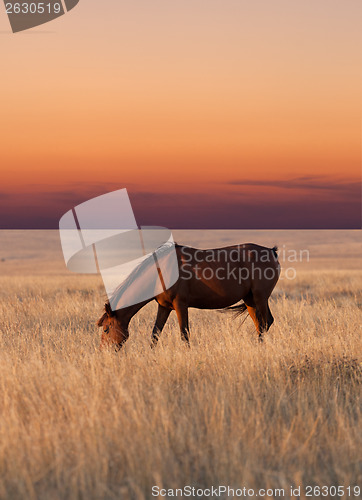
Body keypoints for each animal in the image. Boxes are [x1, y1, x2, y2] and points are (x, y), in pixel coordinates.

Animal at [96, 242, 280, 348]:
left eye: (106, 329)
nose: (104, 352)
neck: (160, 272)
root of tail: (271, 252)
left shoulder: (180, 306)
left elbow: (184, 334)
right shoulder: (164, 307)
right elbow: (155, 334)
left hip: (260, 298)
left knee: (265, 322)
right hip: (250, 300)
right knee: (260, 325)